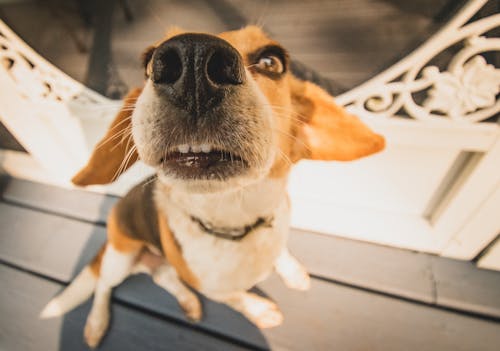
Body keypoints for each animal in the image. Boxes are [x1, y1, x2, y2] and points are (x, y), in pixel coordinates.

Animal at [40, 26, 382, 348]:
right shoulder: (210, 285)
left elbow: (281, 251)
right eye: (147, 60)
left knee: (162, 274)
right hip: (122, 255)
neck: (236, 222)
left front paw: (292, 271)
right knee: (103, 284)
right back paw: (96, 323)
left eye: (272, 61)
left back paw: (187, 301)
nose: (193, 57)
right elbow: (236, 297)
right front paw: (259, 309)